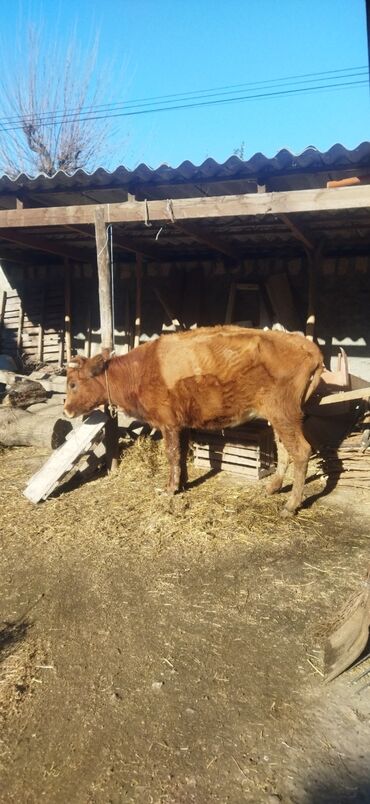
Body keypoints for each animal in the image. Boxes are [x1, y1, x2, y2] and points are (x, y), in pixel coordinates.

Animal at [64, 326, 324, 516]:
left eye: (73, 384)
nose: (66, 410)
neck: (140, 370)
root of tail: (305, 345)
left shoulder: (168, 423)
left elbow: (171, 454)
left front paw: (170, 488)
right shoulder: (182, 424)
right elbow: (181, 454)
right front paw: (182, 483)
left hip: (284, 415)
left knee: (301, 451)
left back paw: (290, 505)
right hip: (279, 418)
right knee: (285, 450)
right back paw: (273, 487)